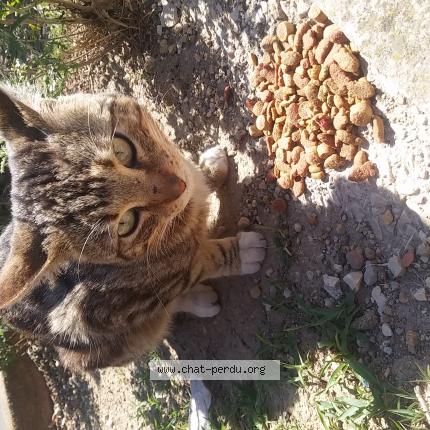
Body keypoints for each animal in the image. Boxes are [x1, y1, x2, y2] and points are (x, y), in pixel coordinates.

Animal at [0, 86, 266, 370]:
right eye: (126, 224)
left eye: (122, 149)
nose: (179, 186)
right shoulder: (171, 276)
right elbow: (207, 260)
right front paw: (242, 252)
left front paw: (208, 167)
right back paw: (200, 300)